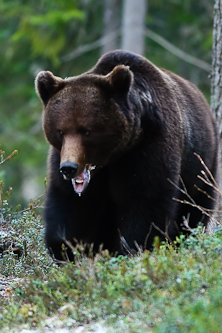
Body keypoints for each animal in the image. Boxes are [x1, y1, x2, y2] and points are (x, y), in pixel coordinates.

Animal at [35, 50, 218, 260]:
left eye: (86, 131)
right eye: (60, 131)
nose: (69, 168)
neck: (112, 157)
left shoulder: (149, 148)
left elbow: (145, 201)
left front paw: (130, 248)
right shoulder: (62, 158)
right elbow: (70, 204)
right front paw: (67, 249)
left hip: (201, 163)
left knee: (194, 208)